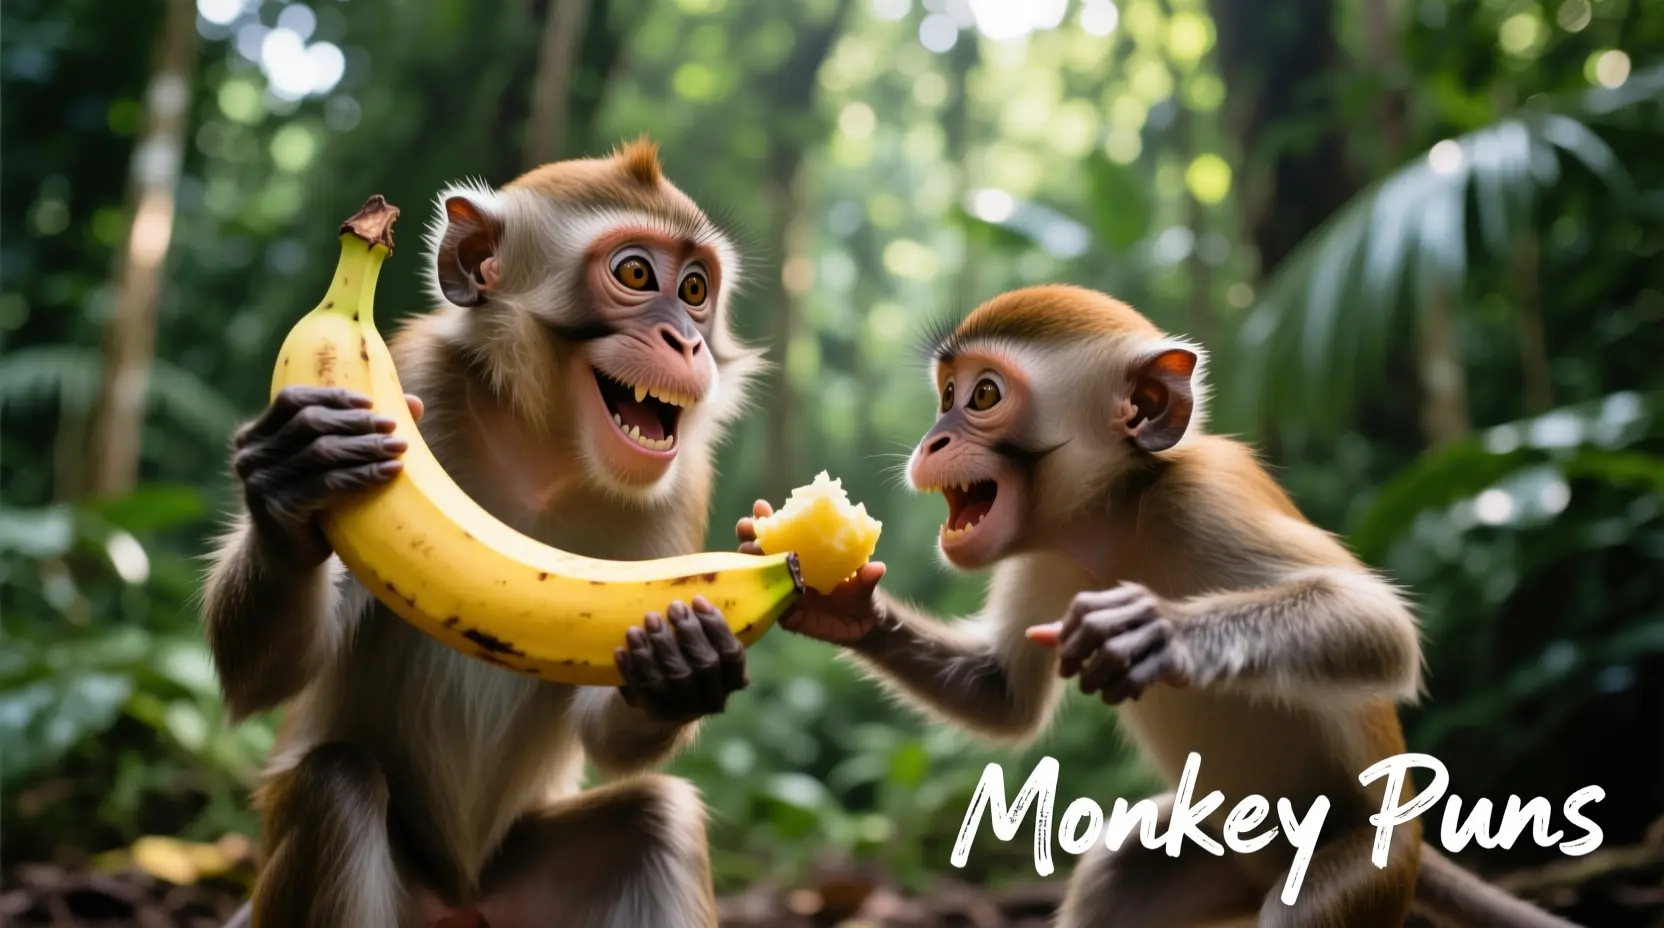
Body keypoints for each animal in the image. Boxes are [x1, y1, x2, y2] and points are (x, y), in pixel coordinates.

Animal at [202, 138, 769, 928]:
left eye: (694, 289)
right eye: (635, 273)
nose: (686, 342)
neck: (542, 448)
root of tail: (462, 897)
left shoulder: (680, 485)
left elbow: (606, 727)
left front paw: (684, 659)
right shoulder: (412, 384)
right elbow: (267, 680)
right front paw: (291, 478)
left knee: (654, 820)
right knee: (334, 787)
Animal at [736, 285, 1582, 928]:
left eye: (981, 395)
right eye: (944, 396)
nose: (934, 438)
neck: (1112, 518)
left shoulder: (1205, 495)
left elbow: (1382, 630)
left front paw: (1159, 632)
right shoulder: (1048, 557)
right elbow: (1000, 698)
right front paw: (843, 606)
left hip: (1365, 866)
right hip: (1213, 852)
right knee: (1116, 878)